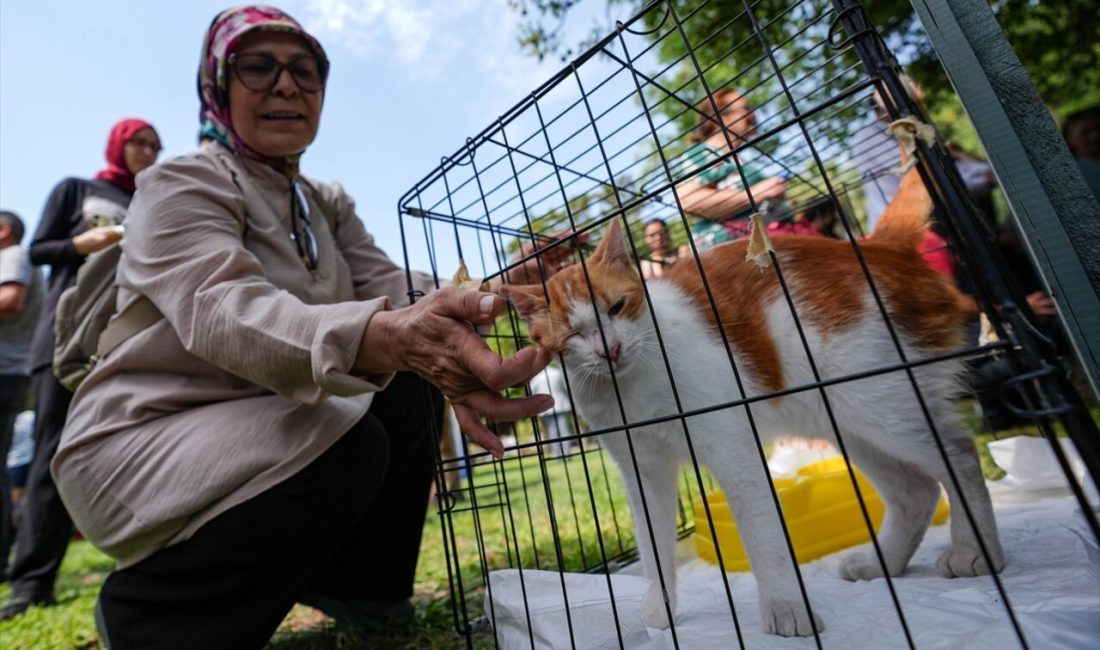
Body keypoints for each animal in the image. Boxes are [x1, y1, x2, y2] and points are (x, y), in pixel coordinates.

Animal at [503, 166, 1007, 637]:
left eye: (617, 306)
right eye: (574, 335)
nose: (610, 349)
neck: (630, 386)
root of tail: (872, 247)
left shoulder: (731, 445)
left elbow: (762, 532)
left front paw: (786, 608)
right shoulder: (642, 469)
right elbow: (653, 545)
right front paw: (658, 610)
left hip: (879, 399)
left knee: (960, 454)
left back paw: (975, 549)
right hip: (845, 417)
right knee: (915, 491)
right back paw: (883, 562)